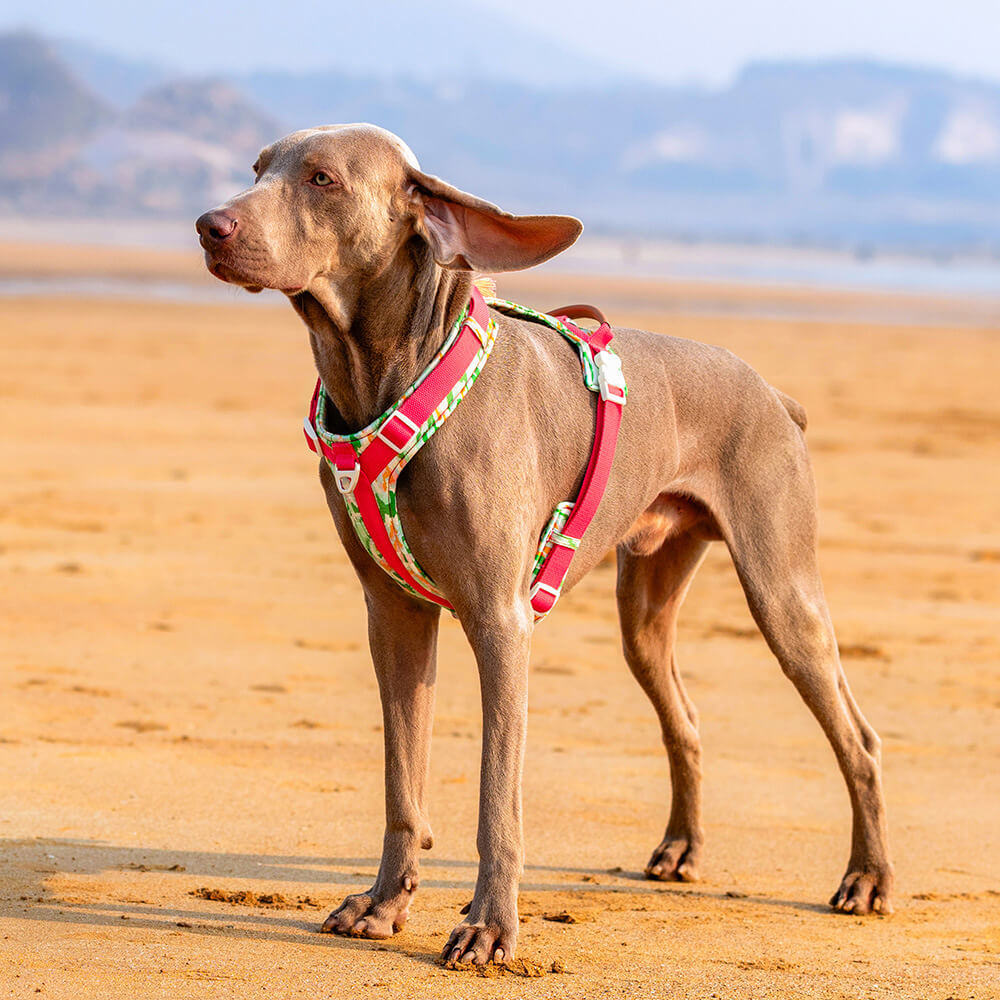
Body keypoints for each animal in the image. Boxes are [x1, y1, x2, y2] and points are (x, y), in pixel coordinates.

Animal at [193, 121, 892, 964]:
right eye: (258, 167)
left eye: (323, 178)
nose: (210, 226)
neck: (392, 372)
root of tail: (775, 395)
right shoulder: (393, 614)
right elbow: (402, 780)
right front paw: (384, 903)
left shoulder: (500, 621)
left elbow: (498, 795)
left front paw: (489, 927)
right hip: (645, 610)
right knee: (685, 718)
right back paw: (681, 850)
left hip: (782, 589)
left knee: (858, 737)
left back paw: (867, 880)